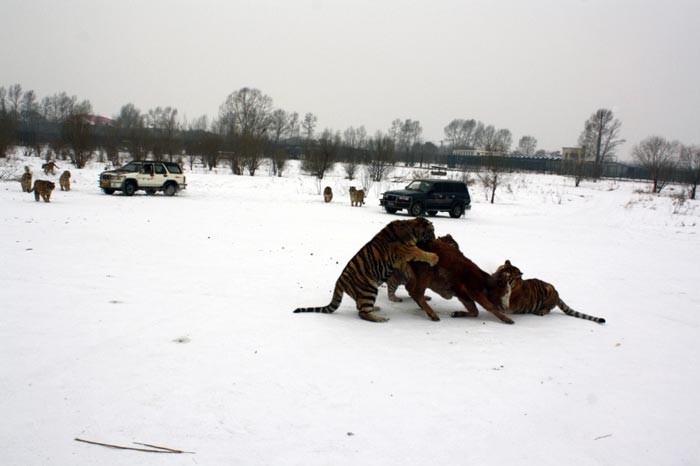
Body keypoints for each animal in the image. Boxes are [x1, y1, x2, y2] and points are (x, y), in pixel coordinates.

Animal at [294, 218, 438, 320]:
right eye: (432, 231)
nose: (436, 238)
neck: (411, 228)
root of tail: (339, 281)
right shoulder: (408, 250)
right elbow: (421, 253)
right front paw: (435, 258)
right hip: (368, 290)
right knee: (362, 313)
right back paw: (381, 319)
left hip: (364, 294)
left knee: (360, 307)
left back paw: (376, 309)